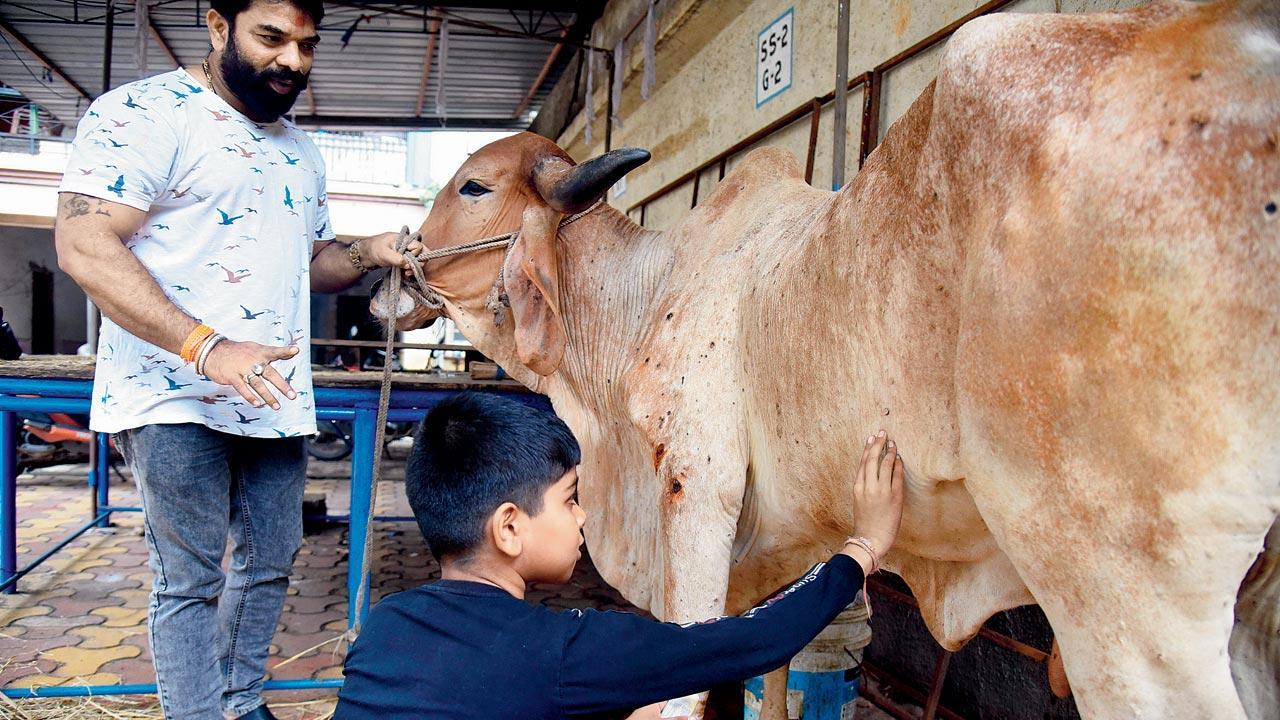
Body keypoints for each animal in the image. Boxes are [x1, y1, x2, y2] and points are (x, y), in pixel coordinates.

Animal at [373, 2, 1280, 712]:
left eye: (476, 187)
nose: (387, 266)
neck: (644, 299)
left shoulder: (696, 488)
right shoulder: (788, 541)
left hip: (1120, 603)